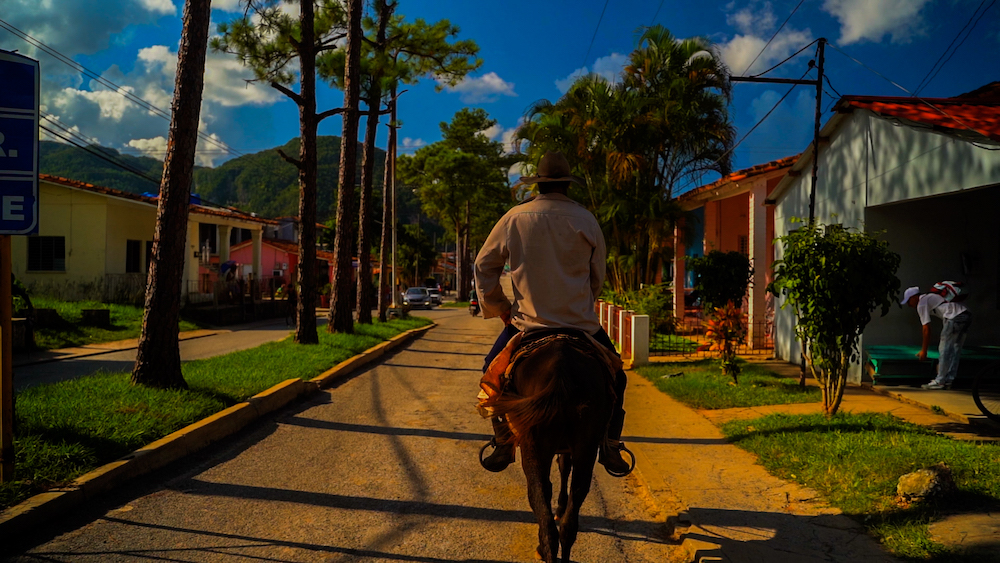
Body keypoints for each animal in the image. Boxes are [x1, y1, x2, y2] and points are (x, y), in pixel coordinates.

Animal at [486, 338, 616, 560]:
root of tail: (560, 372)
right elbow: (564, 469)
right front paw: (561, 507)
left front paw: (559, 507)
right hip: (586, 447)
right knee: (571, 516)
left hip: (533, 445)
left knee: (539, 498)